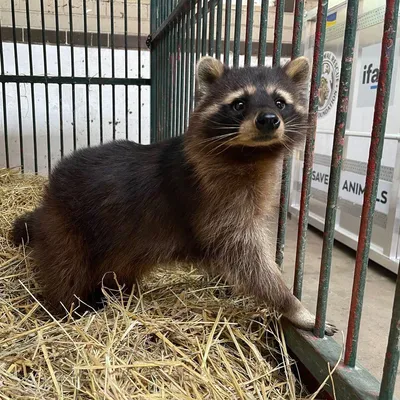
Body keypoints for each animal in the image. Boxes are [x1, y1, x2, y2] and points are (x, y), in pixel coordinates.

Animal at [10, 56, 338, 336]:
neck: (250, 154)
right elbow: (246, 257)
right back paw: (66, 308)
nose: (269, 119)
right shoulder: (215, 200)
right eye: (239, 104)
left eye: (280, 102)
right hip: (65, 223)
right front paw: (292, 304)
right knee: (66, 269)